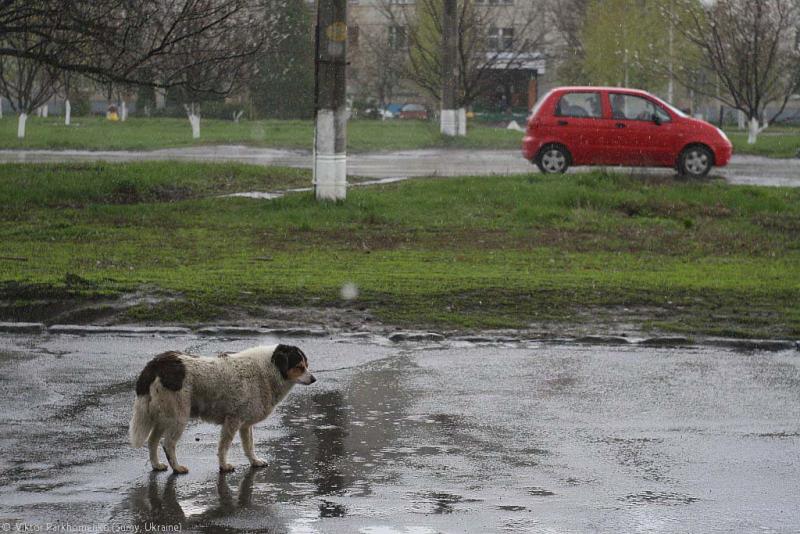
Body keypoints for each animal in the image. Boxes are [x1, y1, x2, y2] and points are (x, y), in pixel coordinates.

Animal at [129, 346, 316, 476]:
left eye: (307, 365)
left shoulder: (245, 424)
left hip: (163, 416)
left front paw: (254, 462)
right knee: (168, 444)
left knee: (152, 441)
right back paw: (177, 468)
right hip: (178, 417)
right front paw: (224, 466)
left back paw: (156, 465)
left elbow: (249, 446)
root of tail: (156, 363)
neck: (268, 369)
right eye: (299, 366)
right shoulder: (232, 420)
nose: (314, 379)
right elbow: (224, 447)